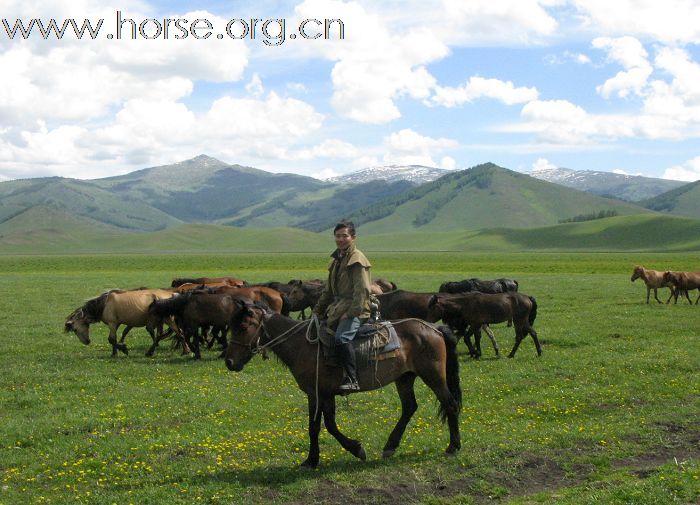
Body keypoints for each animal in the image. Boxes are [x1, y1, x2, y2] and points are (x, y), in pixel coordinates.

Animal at [227, 300, 462, 468]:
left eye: (244, 326)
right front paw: (311, 460)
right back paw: (390, 446)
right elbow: (316, 427)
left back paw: (453, 447)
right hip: (405, 378)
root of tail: (434, 328)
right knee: (410, 407)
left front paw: (356, 449)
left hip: (433, 376)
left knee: (450, 404)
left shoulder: (322, 394)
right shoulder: (316, 394)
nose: (229, 362)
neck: (302, 345)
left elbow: (327, 426)